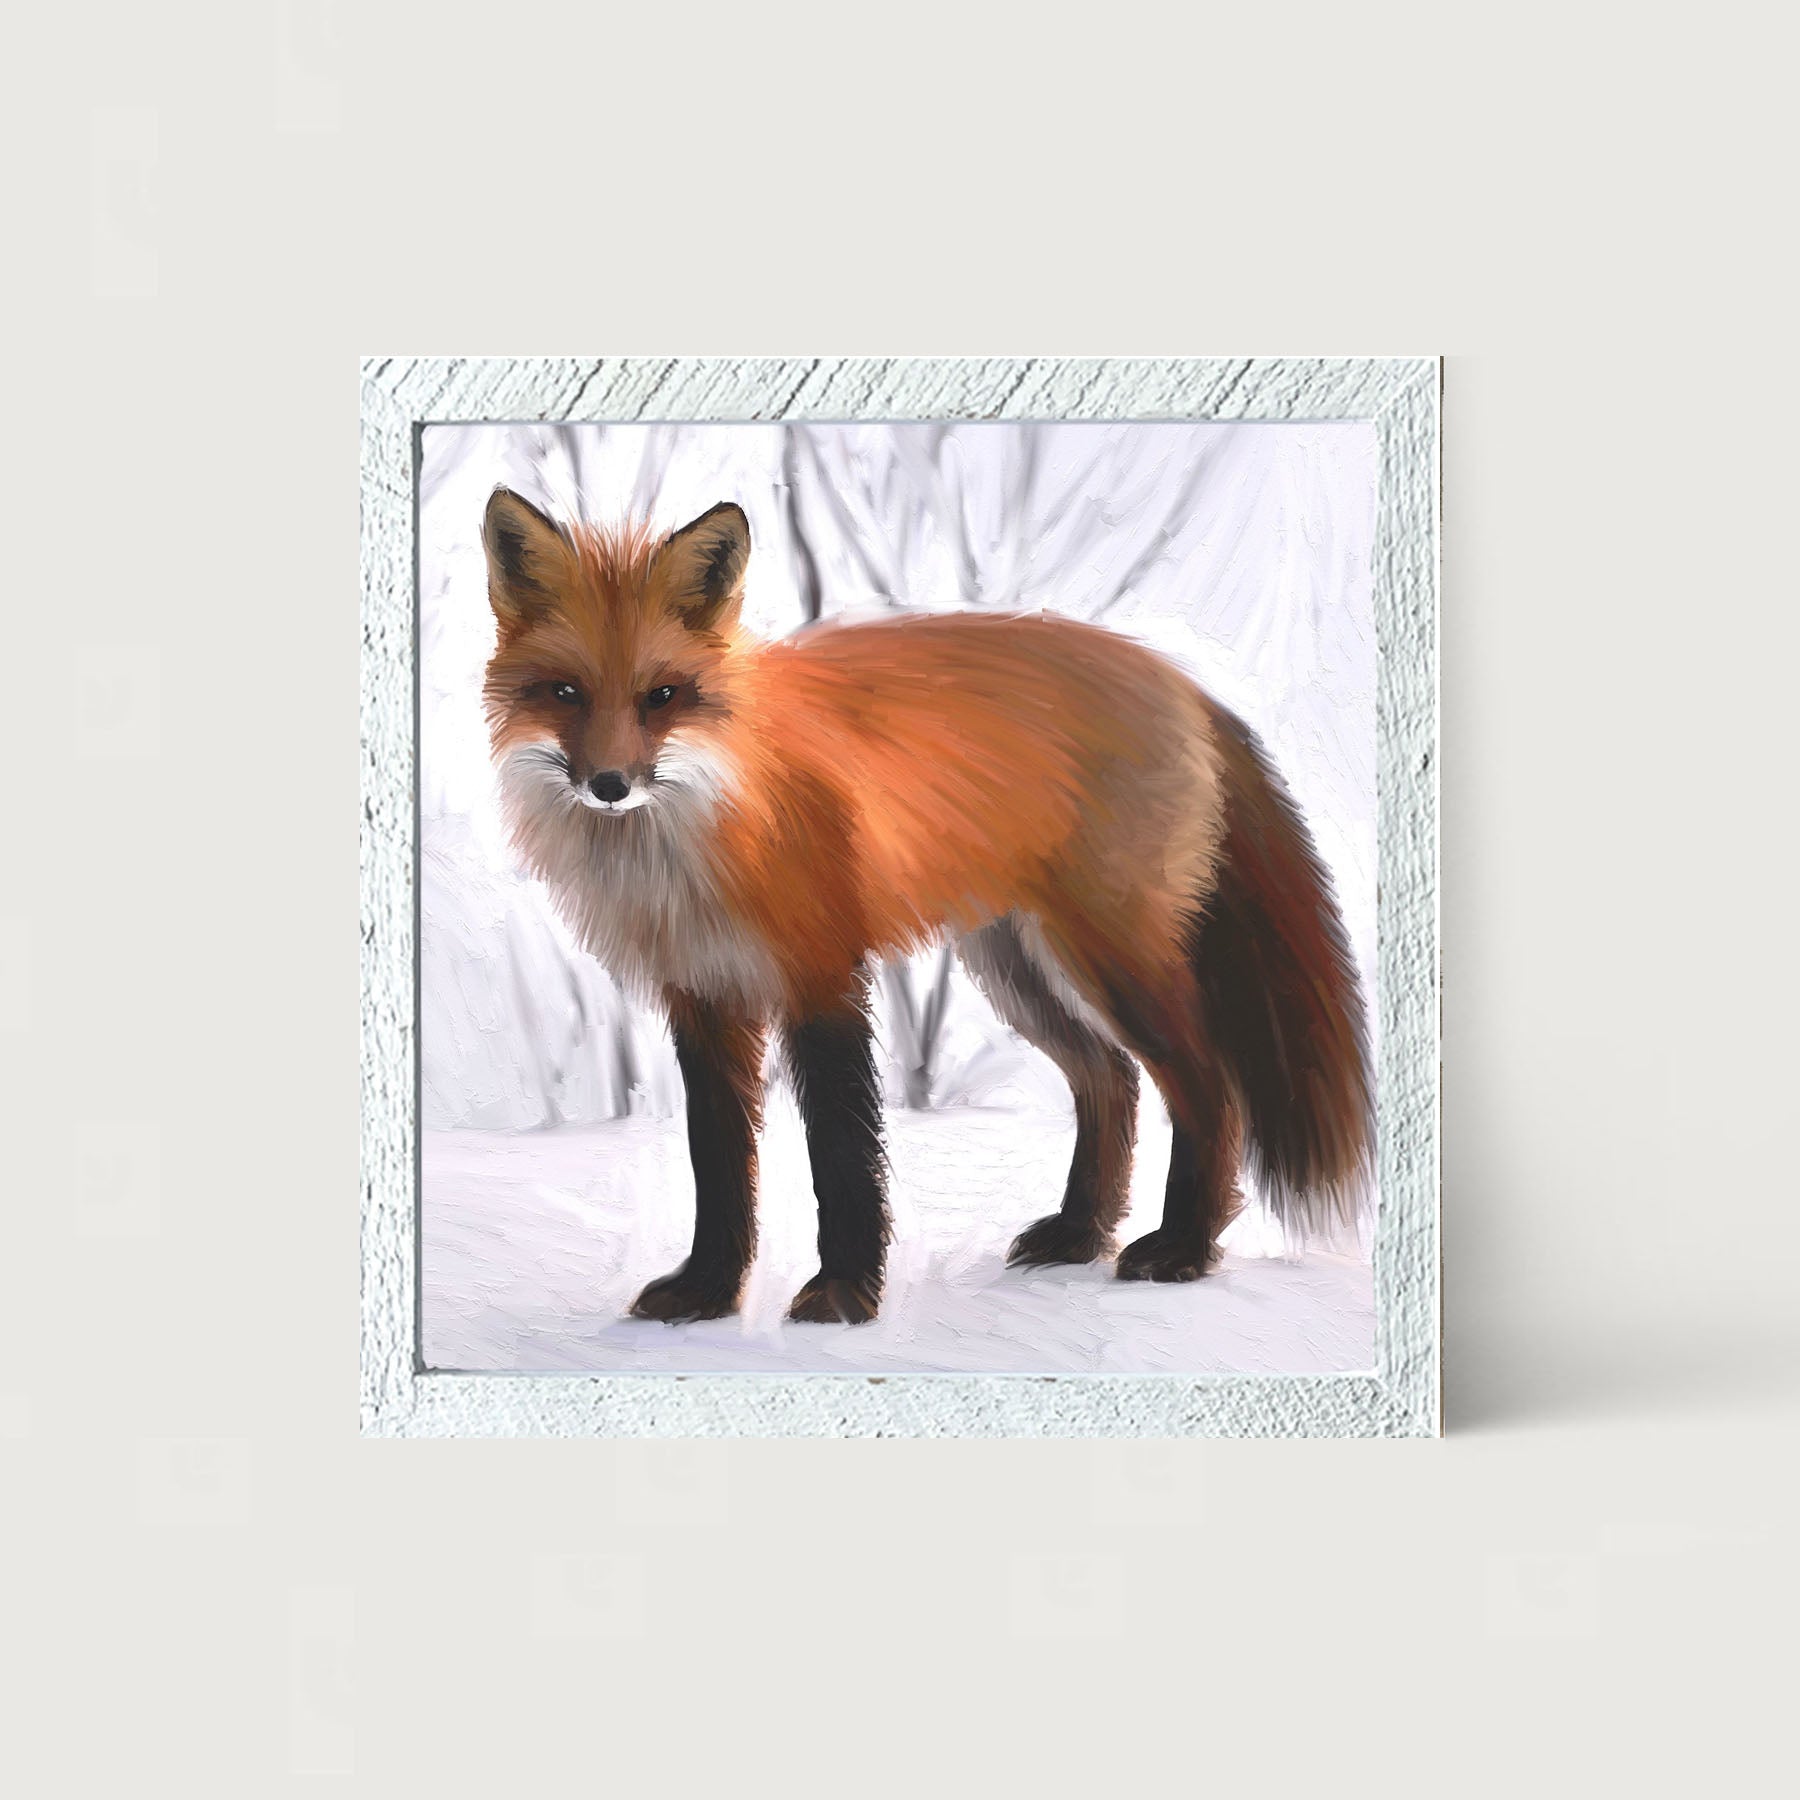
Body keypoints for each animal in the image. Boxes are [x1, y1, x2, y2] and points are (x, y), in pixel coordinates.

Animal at [481, 487, 1372, 1325]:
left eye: (663, 695)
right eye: (565, 692)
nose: (609, 785)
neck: (701, 835)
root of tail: (1178, 679)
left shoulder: (822, 976)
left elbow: (841, 1153)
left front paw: (844, 1295)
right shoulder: (702, 998)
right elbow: (721, 1163)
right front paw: (707, 1291)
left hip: (1114, 960)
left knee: (1206, 1085)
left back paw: (1182, 1247)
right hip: (1016, 968)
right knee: (1110, 1079)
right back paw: (1080, 1234)